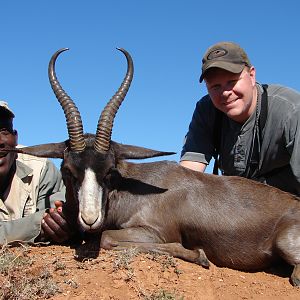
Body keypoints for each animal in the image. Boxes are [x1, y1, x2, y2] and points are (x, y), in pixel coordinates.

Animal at [8, 48, 300, 286]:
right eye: (68, 170)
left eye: (110, 171)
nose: (90, 219)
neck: (130, 190)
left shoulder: (153, 233)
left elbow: (107, 238)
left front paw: (199, 255)